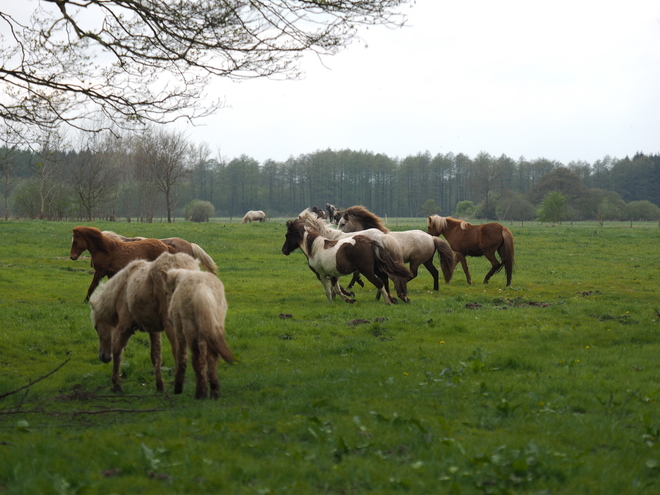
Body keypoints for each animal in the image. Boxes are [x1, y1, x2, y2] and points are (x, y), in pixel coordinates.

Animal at [89, 254, 201, 394]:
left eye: (96, 327)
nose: (103, 357)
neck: (122, 288)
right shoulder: (153, 329)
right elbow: (156, 356)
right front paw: (160, 386)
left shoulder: (125, 325)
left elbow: (117, 350)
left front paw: (116, 384)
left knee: (180, 354)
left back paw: (178, 386)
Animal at [165, 270, 235, 402]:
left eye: (167, 292)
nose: (169, 317)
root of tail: (202, 287)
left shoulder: (179, 333)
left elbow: (181, 357)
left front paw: (178, 388)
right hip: (212, 327)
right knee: (211, 358)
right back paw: (214, 391)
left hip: (190, 329)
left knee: (198, 359)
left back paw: (200, 394)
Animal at [280, 218, 412, 304]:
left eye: (287, 235)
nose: (284, 250)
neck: (314, 248)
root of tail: (370, 242)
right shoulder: (332, 275)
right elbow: (337, 289)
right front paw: (349, 299)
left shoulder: (321, 275)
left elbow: (328, 291)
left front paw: (331, 303)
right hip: (376, 268)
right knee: (384, 279)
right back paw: (392, 298)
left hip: (367, 271)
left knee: (380, 283)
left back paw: (388, 301)